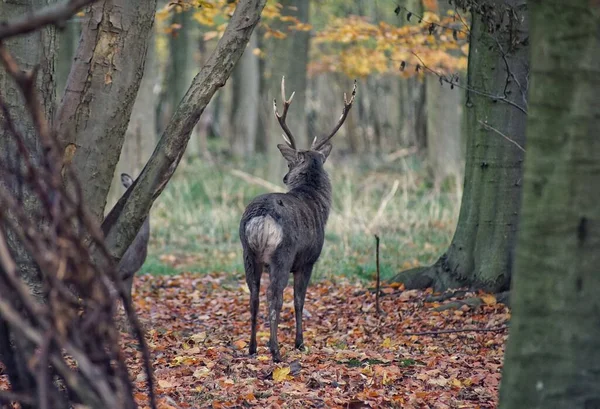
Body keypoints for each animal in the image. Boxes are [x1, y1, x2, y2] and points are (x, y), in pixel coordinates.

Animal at [238, 75, 356, 360]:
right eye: (291, 162)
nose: (284, 176)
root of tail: (260, 218)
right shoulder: (308, 260)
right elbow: (300, 300)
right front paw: (300, 342)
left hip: (247, 253)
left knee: (253, 296)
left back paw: (252, 347)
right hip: (282, 254)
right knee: (274, 296)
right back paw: (275, 350)